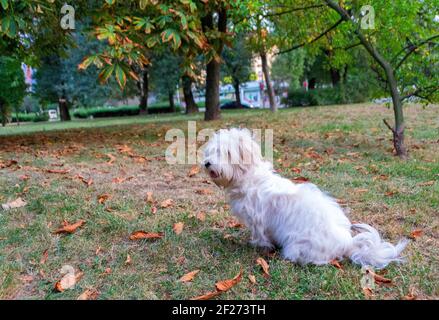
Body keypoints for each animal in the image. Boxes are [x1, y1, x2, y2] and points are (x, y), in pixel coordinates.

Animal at [204, 129, 410, 268]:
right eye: (212, 151)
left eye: (225, 153)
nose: (207, 163)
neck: (250, 177)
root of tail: (346, 243)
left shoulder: (257, 220)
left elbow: (260, 236)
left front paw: (258, 246)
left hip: (297, 246)